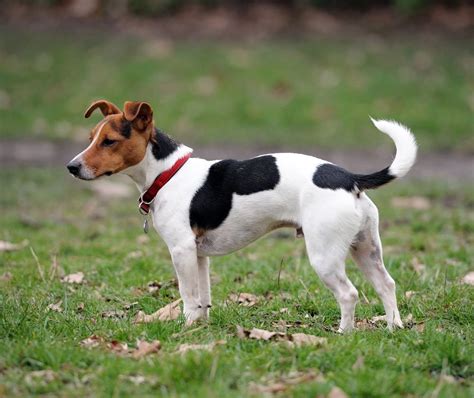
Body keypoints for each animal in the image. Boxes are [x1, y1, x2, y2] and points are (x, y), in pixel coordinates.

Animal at [66, 101, 414, 332]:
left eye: (109, 141)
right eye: (91, 138)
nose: (71, 167)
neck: (168, 173)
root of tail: (349, 178)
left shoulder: (180, 251)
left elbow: (187, 295)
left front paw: (185, 329)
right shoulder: (199, 255)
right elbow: (203, 297)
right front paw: (201, 328)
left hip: (324, 256)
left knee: (349, 294)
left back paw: (344, 333)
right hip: (365, 249)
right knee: (386, 285)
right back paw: (393, 328)